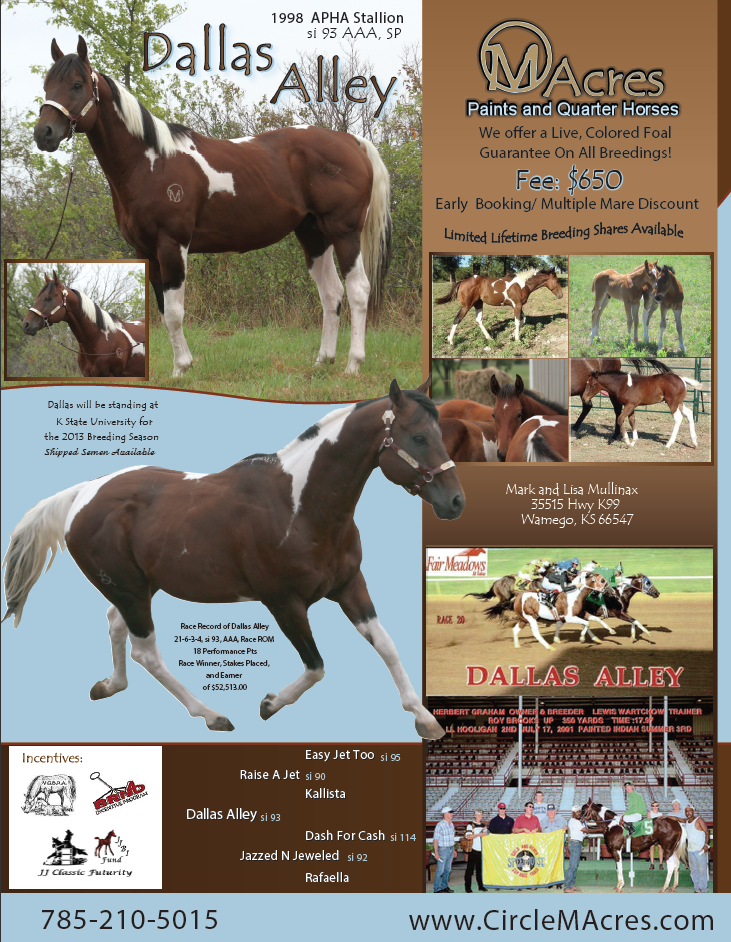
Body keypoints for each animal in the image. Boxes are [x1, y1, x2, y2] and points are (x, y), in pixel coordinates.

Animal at [3, 379, 463, 739]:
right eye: (418, 438)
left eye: (441, 434)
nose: (455, 502)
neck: (299, 507)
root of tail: (82, 493)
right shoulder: (283, 602)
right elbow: (316, 666)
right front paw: (270, 703)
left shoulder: (350, 586)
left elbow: (387, 646)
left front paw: (425, 720)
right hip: (130, 590)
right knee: (145, 652)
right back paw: (212, 715)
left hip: (137, 587)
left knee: (116, 626)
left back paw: (109, 686)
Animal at [34, 38, 391, 377]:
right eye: (47, 85)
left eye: (77, 84)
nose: (44, 133)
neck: (151, 164)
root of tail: (351, 142)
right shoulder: (146, 252)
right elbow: (161, 311)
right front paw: (180, 366)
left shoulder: (172, 245)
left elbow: (174, 313)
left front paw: (181, 368)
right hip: (314, 234)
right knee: (331, 293)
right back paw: (322, 361)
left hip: (344, 231)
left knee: (358, 290)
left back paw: (353, 364)